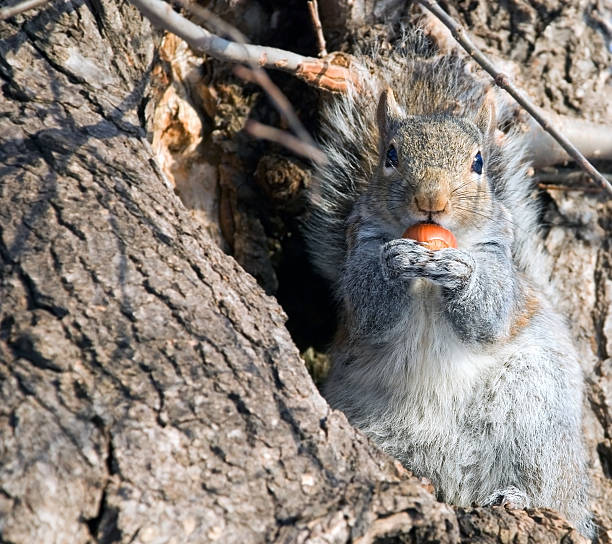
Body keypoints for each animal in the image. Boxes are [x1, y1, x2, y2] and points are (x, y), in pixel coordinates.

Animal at [306, 34, 592, 540]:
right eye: (390, 156)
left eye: (478, 162)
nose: (431, 200)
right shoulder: (360, 254)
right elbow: (369, 309)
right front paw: (395, 264)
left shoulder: (500, 261)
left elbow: (490, 314)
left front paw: (461, 272)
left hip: (536, 418)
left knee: (545, 486)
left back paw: (517, 496)